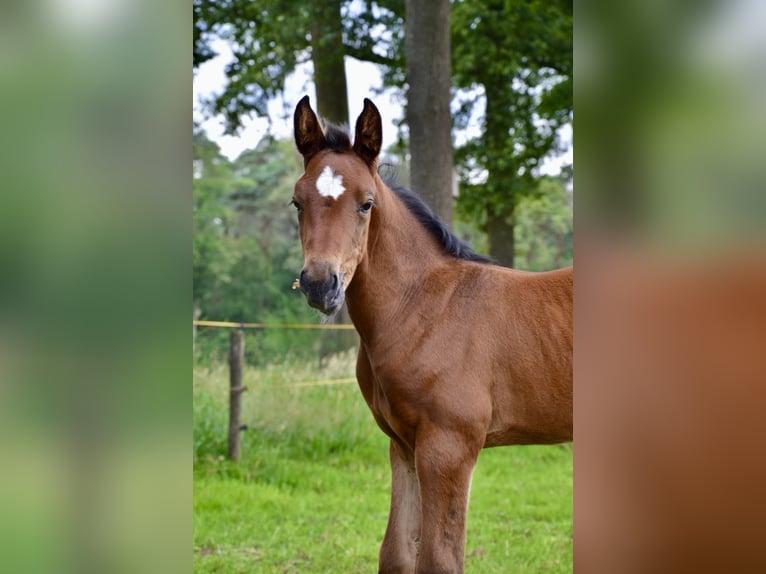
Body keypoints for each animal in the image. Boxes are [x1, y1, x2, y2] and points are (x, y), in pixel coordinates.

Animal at [292, 97, 572, 572]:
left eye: (366, 203)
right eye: (297, 202)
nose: (319, 284)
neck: (424, 308)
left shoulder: (449, 447)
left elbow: (440, 559)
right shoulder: (403, 445)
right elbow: (396, 552)